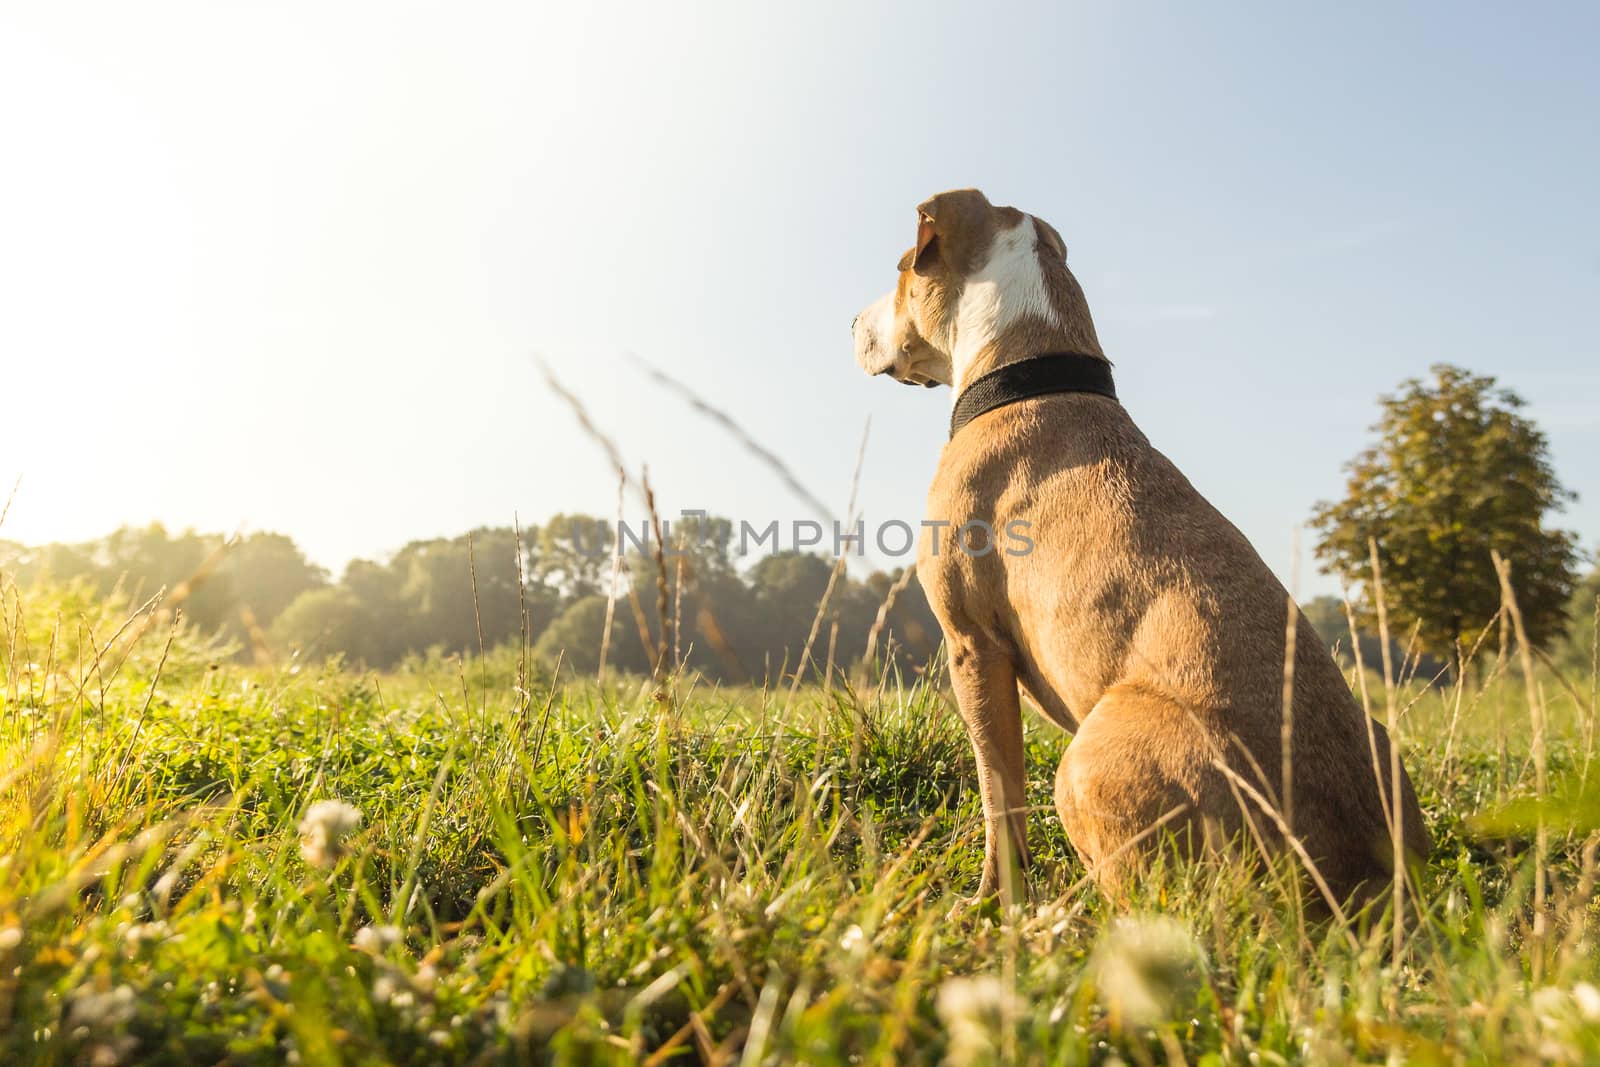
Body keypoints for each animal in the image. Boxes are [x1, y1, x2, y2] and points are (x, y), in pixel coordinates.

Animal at [857, 187, 1433, 908]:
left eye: (901, 270)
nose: (850, 321)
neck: (1030, 372)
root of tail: (1358, 878)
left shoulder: (972, 644)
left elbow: (998, 794)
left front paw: (994, 902)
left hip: (1089, 760)